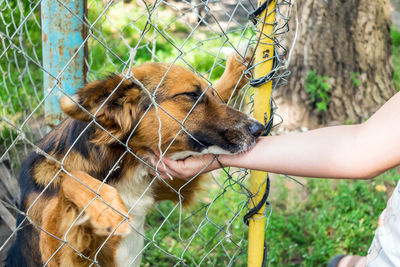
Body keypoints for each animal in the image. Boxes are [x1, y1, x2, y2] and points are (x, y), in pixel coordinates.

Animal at [5, 48, 262, 267]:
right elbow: (70, 178)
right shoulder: (60, 251)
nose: (260, 129)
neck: (124, 165)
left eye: (207, 93)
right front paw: (106, 206)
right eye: (191, 95)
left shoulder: (173, 183)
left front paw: (237, 69)